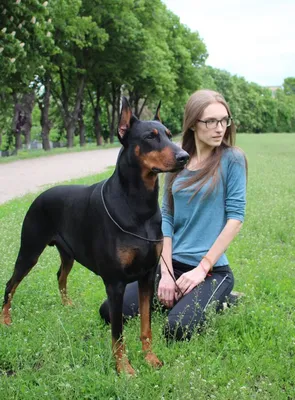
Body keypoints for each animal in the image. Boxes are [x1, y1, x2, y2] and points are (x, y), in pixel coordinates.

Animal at [0, 97, 190, 376]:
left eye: (168, 134)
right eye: (150, 137)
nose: (184, 156)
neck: (138, 206)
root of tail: (40, 195)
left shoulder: (147, 276)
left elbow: (146, 326)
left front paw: (150, 358)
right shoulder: (115, 284)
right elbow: (117, 333)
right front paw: (124, 369)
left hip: (67, 252)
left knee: (60, 275)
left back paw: (67, 305)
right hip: (30, 250)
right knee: (11, 284)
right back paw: (6, 319)